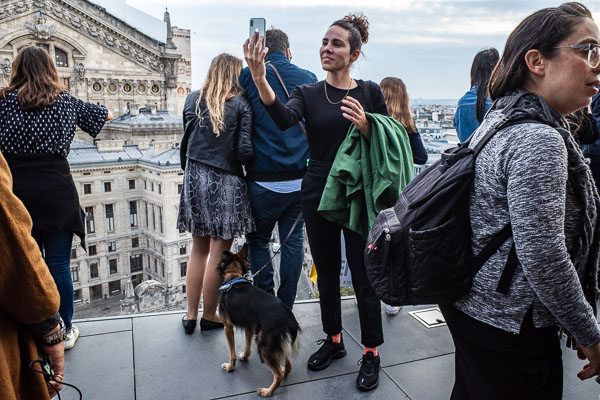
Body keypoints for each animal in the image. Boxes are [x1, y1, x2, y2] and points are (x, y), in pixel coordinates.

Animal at [217, 244, 300, 396]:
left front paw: (230, 367)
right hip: (279, 342)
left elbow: (232, 353)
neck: (233, 276)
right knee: (288, 366)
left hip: (264, 345)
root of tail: (289, 320)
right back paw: (283, 369)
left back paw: (267, 392)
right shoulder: (249, 327)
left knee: (278, 374)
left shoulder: (227, 326)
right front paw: (244, 357)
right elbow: (247, 347)